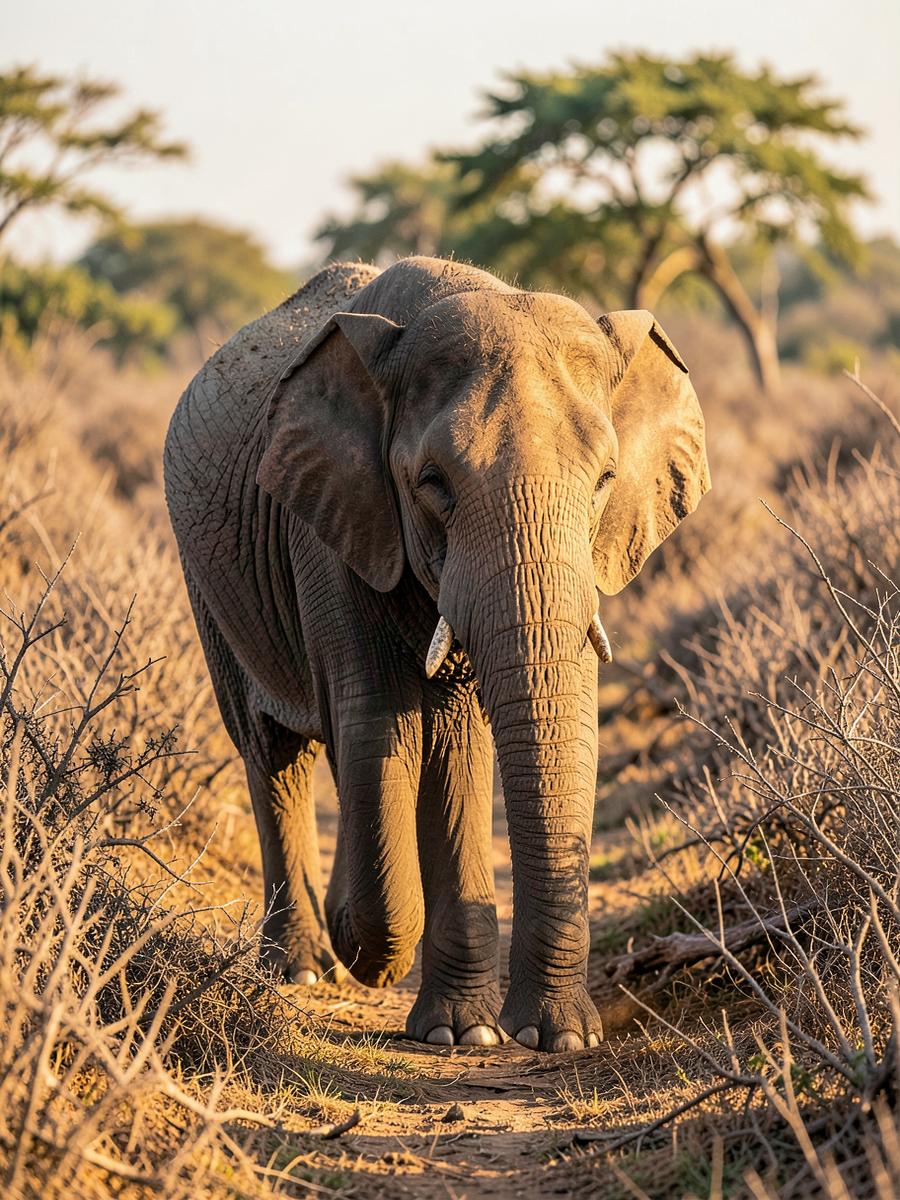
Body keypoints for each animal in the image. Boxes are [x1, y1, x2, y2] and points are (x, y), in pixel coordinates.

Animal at [163, 255, 709, 1052]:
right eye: (433, 485)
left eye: (607, 480)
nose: (550, 1036)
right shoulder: (330, 527)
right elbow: (374, 723)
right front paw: (393, 967)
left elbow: (457, 742)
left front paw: (489, 1035)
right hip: (209, 584)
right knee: (274, 752)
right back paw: (303, 968)